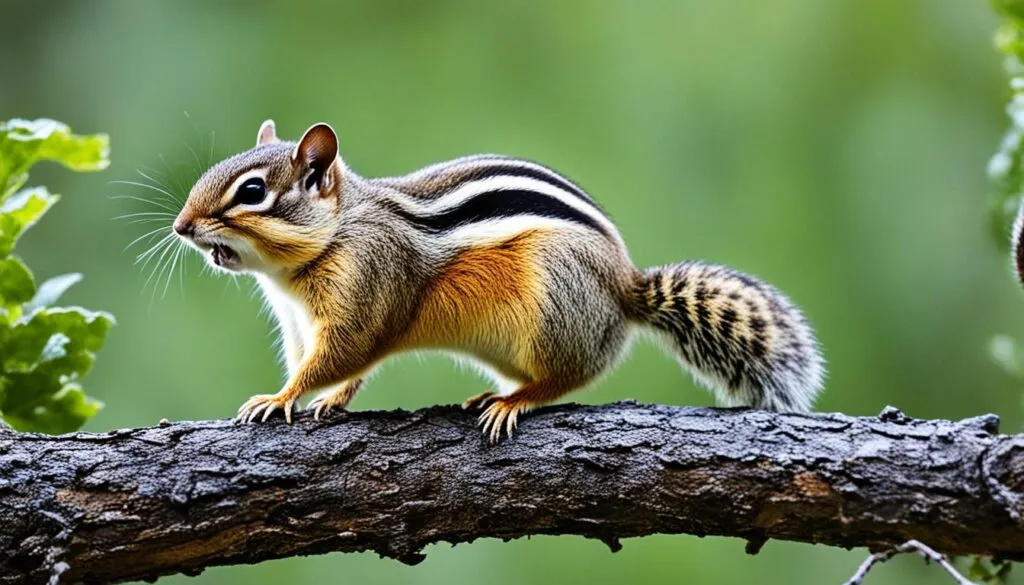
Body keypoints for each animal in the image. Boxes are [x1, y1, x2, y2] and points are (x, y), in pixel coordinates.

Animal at [172, 120, 826, 442]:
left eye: (252, 191)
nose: (181, 226)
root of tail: (625, 287)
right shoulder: (296, 322)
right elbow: (330, 364)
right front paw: (327, 399)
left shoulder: (368, 287)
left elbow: (344, 353)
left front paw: (280, 398)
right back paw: (494, 394)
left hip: (554, 301)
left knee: (566, 377)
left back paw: (515, 402)